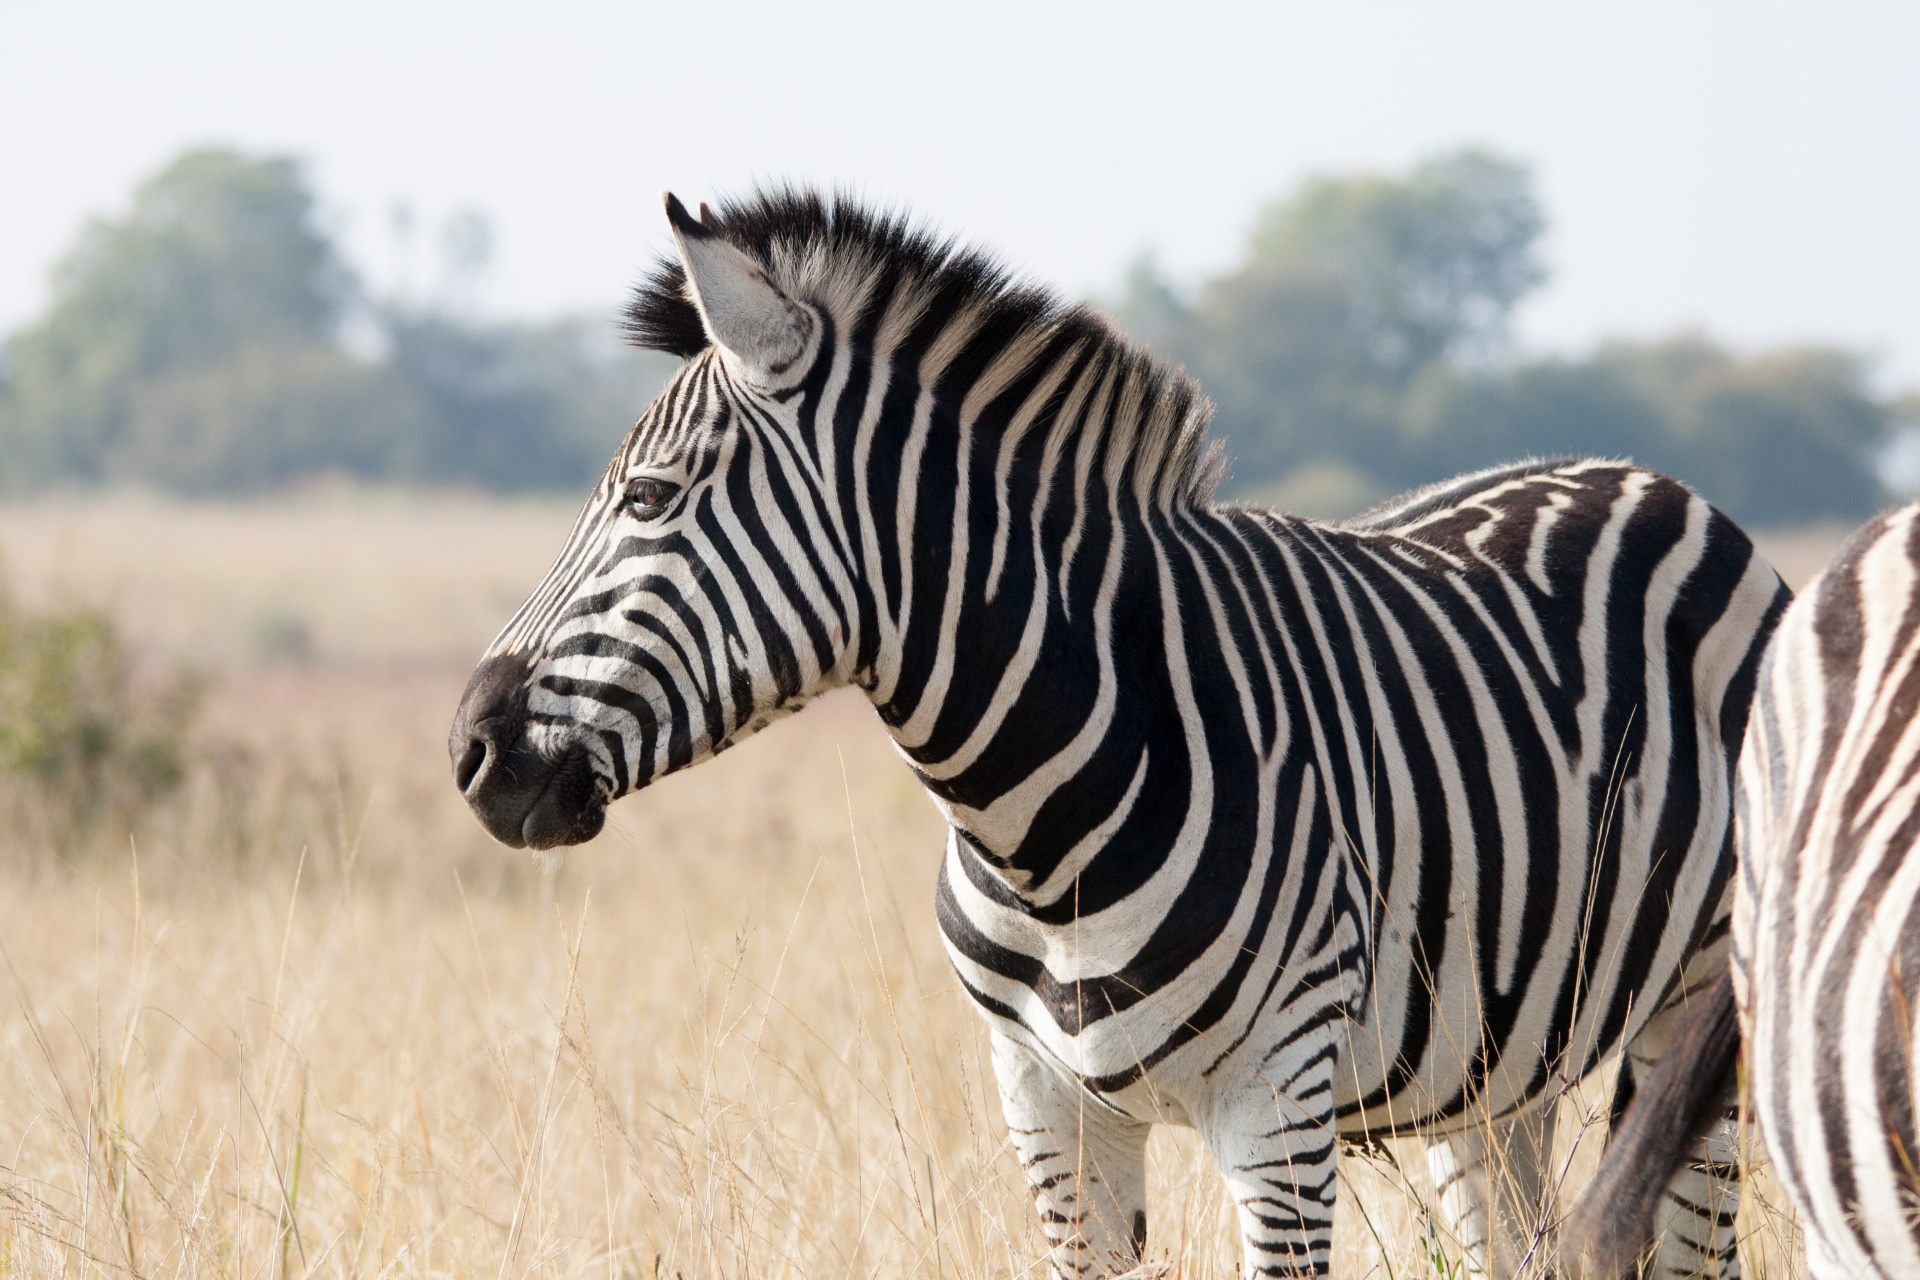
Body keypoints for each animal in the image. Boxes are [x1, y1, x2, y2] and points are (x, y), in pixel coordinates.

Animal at [445, 189, 1781, 1280]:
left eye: (648, 498)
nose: (470, 749)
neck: (1042, 824)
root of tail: (1649, 477)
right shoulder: (1046, 1107)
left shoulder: (1279, 1108)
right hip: (1492, 1068)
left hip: (1698, 1017)